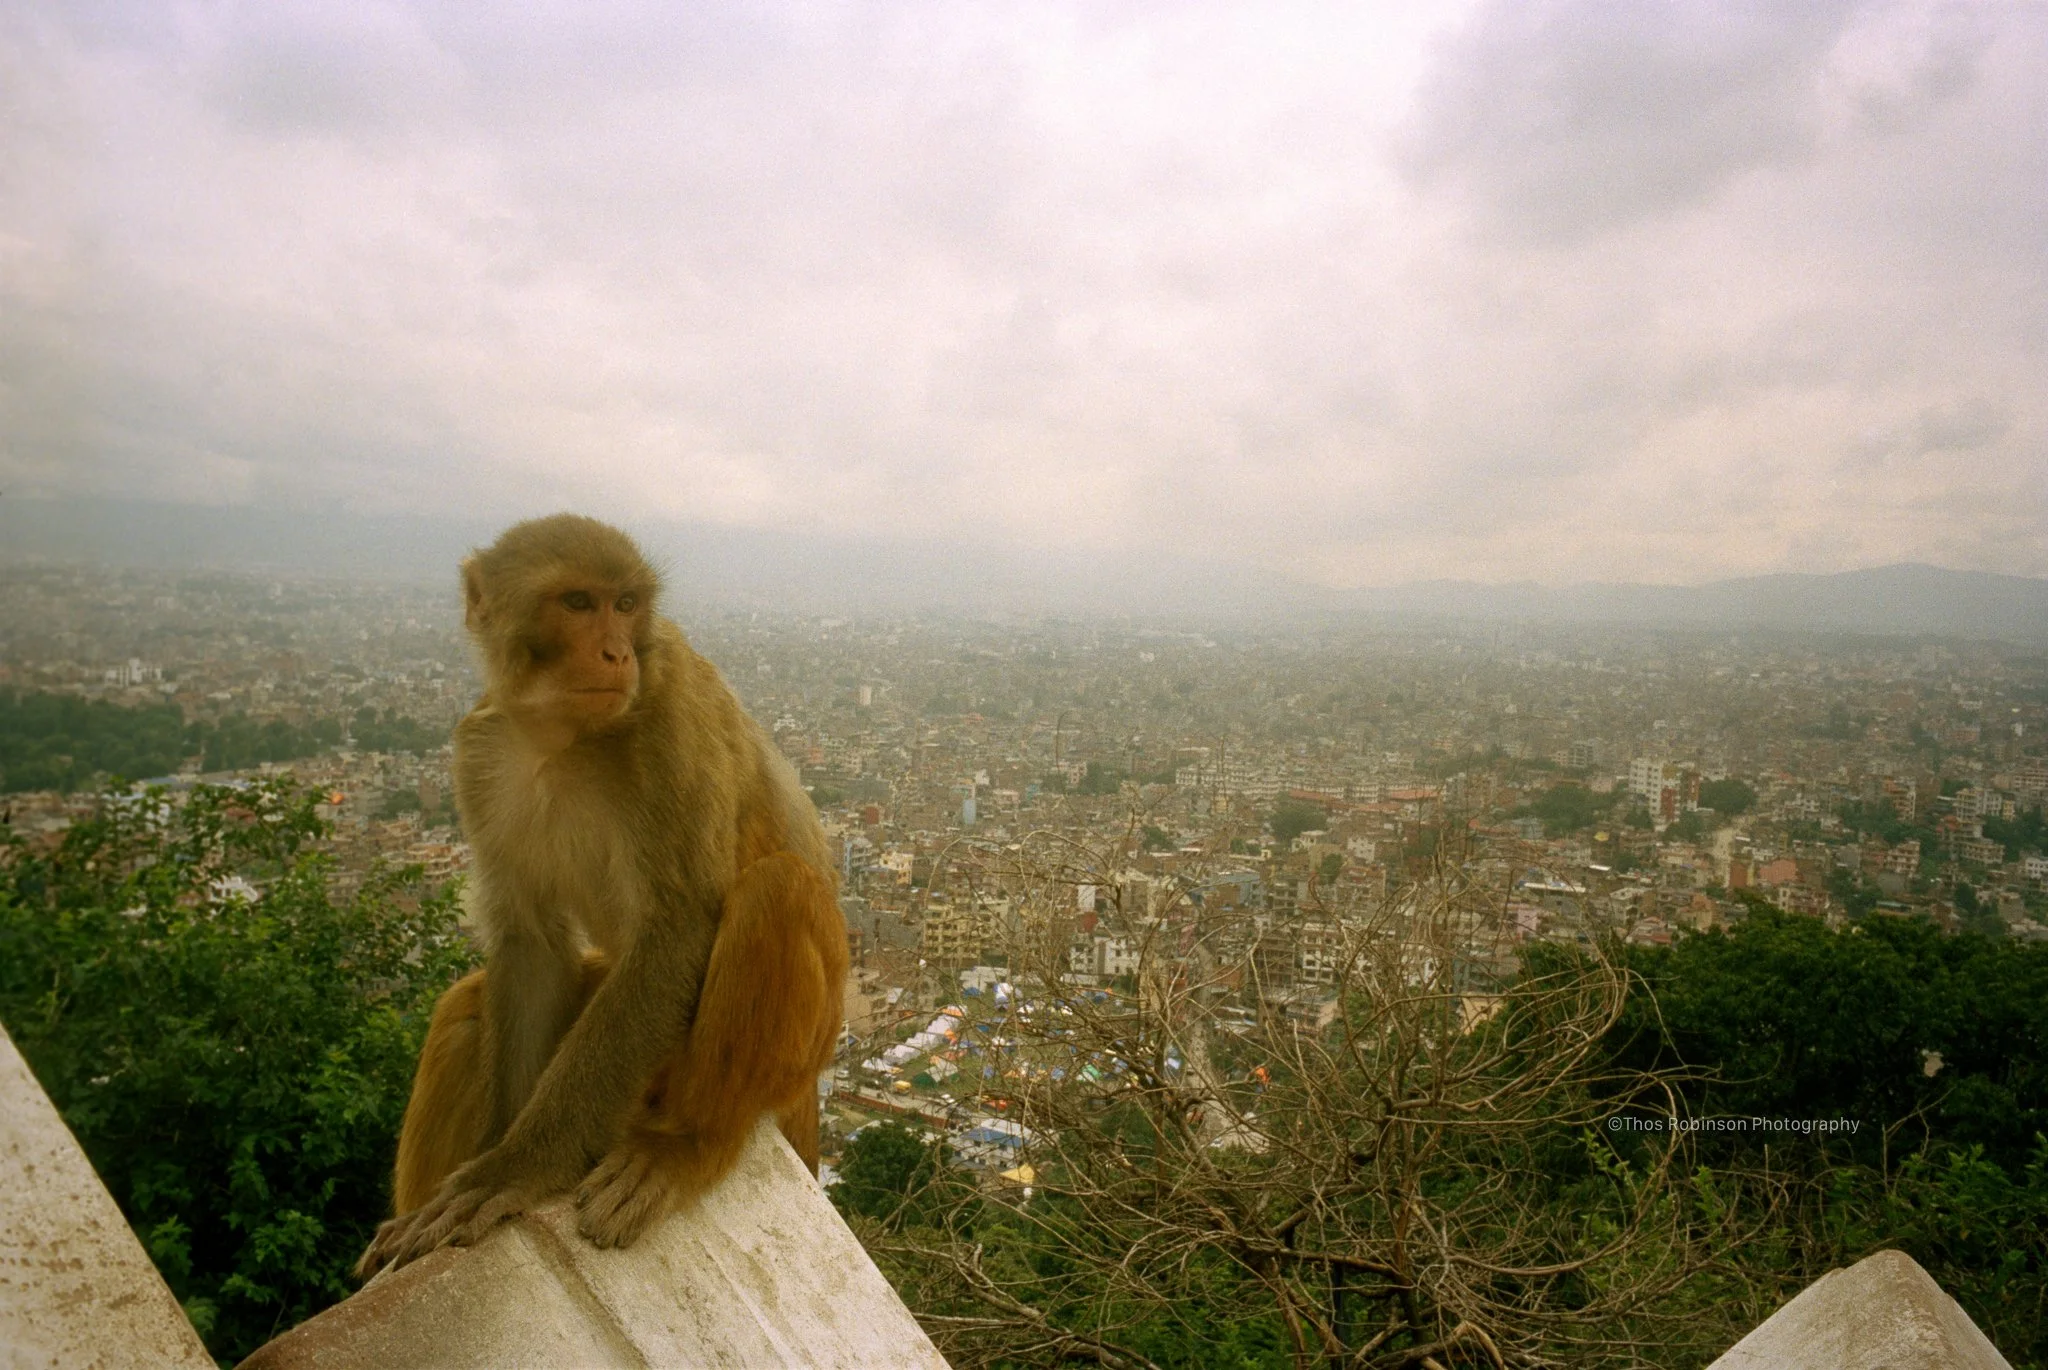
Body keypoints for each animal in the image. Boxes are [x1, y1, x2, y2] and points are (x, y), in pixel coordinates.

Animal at [354, 514, 847, 1277]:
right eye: (579, 603)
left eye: (626, 604)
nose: (616, 653)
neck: (563, 736)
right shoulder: (482, 752)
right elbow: (530, 942)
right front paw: (495, 1159)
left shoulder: (669, 719)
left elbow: (677, 929)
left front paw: (517, 1169)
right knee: (466, 1008)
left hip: (787, 1050)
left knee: (778, 889)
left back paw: (684, 1146)